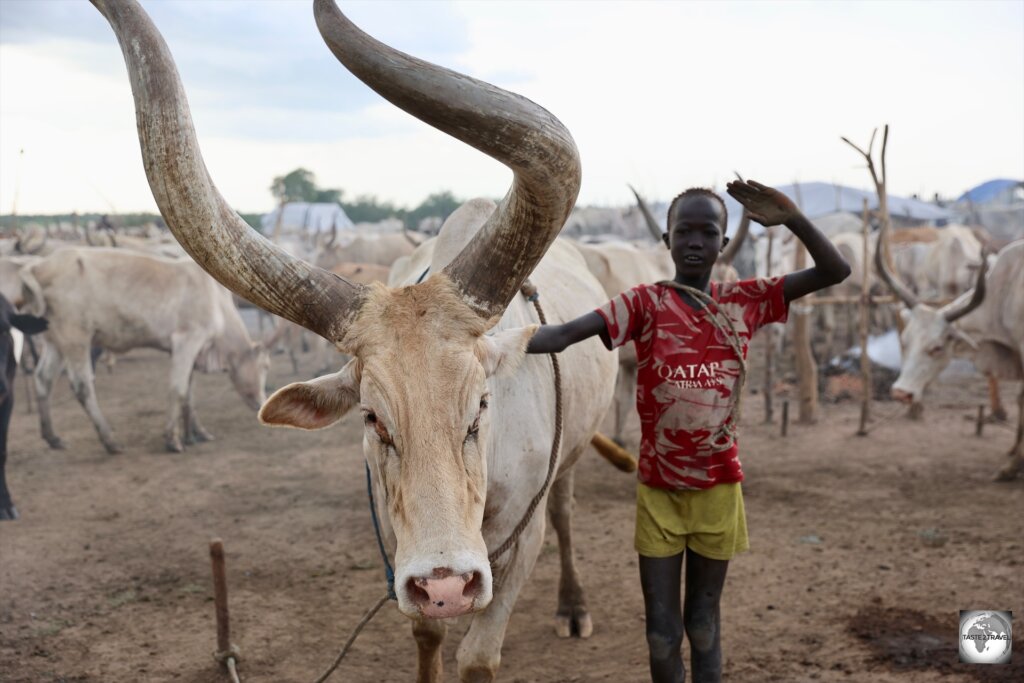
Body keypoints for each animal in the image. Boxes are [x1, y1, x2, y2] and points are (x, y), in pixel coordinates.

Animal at [20, 246, 268, 454]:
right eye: (264, 367)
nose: (262, 403)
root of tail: (41, 266)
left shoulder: (187, 349)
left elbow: (189, 393)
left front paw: (196, 433)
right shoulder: (187, 340)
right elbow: (178, 389)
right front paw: (173, 439)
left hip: (55, 341)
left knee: (43, 378)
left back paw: (53, 437)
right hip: (76, 339)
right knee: (82, 386)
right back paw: (110, 441)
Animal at [90, 2, 614, 679]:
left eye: (481, 406)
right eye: (371, 417)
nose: (447, 585)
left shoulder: (522, 538)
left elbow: (478, 656)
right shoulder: (398, 543)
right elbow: (427, 635)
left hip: (565, 473)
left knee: (569, 514)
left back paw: (573, 607)